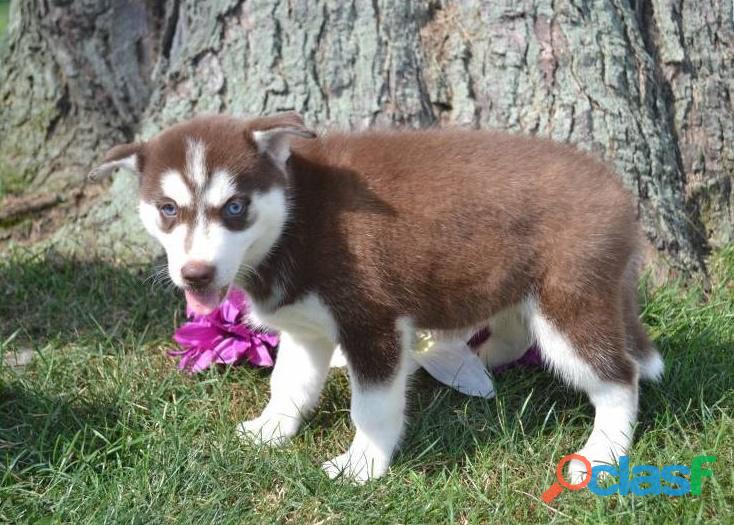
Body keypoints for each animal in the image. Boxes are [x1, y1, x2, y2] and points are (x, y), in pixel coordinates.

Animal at [89, 112, 664, 482]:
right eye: (168, 208)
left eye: (234, 207)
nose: (195, 274)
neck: (294, 218)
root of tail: (618, 191)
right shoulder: (306, 330)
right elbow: (288, 384)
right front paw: (271, 430)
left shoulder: (371, 325)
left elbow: (371, 408)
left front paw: (362, 466)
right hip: (518, 285)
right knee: (512, 332)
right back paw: (463, 361)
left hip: (569, 303)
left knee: (618, 377)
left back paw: (604, 452)